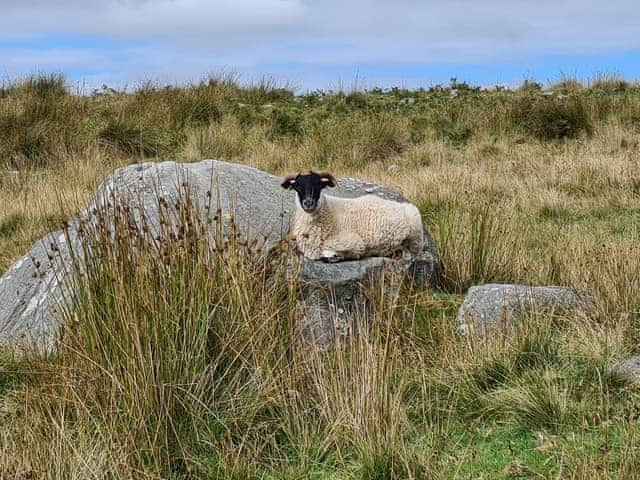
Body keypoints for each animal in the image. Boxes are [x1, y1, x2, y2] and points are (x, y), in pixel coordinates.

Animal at [282, 171, 424, 262]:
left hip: (415, 235)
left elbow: (337, 251)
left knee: (411, 253)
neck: (329, 212)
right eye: (297, 186)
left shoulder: (354, 242)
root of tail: (405, 205)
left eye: (319, 185)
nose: (308, 203)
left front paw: (334, 255)